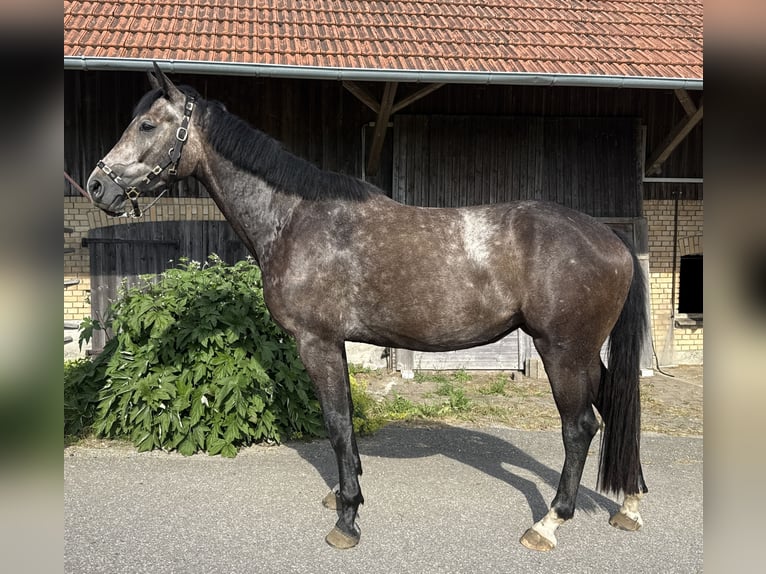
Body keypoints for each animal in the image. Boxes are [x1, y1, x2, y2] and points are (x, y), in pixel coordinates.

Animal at [86, 64, 649, 552]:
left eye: (147, 124)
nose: (97, 185)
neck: (295, 218)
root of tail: (613, 240)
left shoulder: (317, 343)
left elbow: (337, 424)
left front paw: (348, 519)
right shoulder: (332, 344)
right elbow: (347, 423)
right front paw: (343, 494)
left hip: (563, 352)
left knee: (580, 427)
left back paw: (548, 523)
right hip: (582, 354)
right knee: (615, 408)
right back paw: (630, 505)